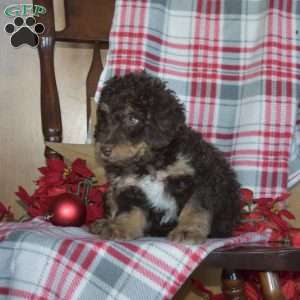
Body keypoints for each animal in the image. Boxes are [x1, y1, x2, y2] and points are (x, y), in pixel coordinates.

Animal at [90, 72, 240, 244]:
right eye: (104, 117)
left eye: (133, 118)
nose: (104, 149)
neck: (149, 163)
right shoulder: (129, 187)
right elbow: (128, 211)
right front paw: (120, 228)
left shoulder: (201, 180)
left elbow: (194, 208)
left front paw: (187, 231)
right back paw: (104, 223)